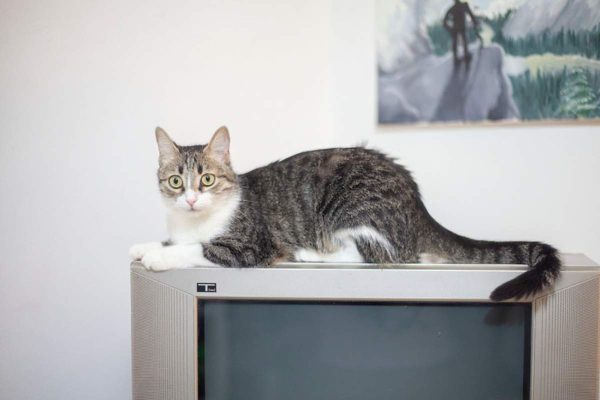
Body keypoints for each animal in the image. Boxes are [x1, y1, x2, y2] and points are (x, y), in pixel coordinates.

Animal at [129, 126, 560, 300]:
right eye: (175, 182)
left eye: (206, 180)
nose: (190, 200)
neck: (194, 221)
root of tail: (418, 205)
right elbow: (171, 240)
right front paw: (143, 246)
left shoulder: (250, 247)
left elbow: (198, 249)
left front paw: (158, 257)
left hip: (351, 211)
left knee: (382, 255)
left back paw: (309, 254)